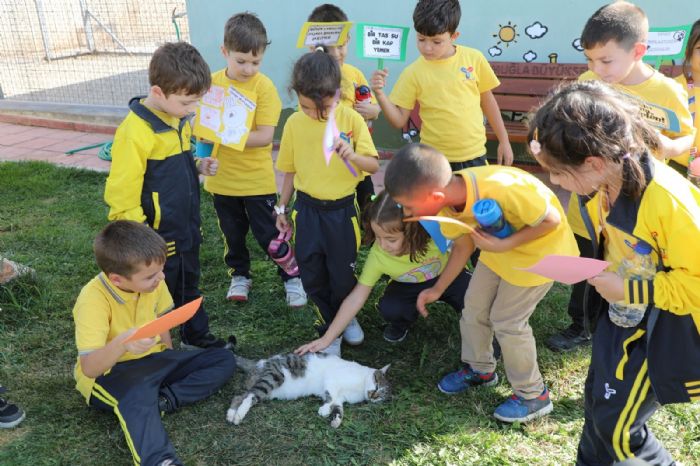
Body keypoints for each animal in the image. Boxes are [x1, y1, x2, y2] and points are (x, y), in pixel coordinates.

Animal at [230, 352, 392, 428]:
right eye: (377, 385)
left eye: (381, 397)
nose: (373, 396)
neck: (360, 387)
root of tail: (260, 362)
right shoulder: (331, 380)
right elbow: (330, 398)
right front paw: (324, 410)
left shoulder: (341, 399)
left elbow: (338, 408)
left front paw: (336, 420)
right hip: (274, 378)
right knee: (249, 396)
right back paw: (238, 415)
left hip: (267, 391)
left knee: (240, 396)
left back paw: (232, 415)